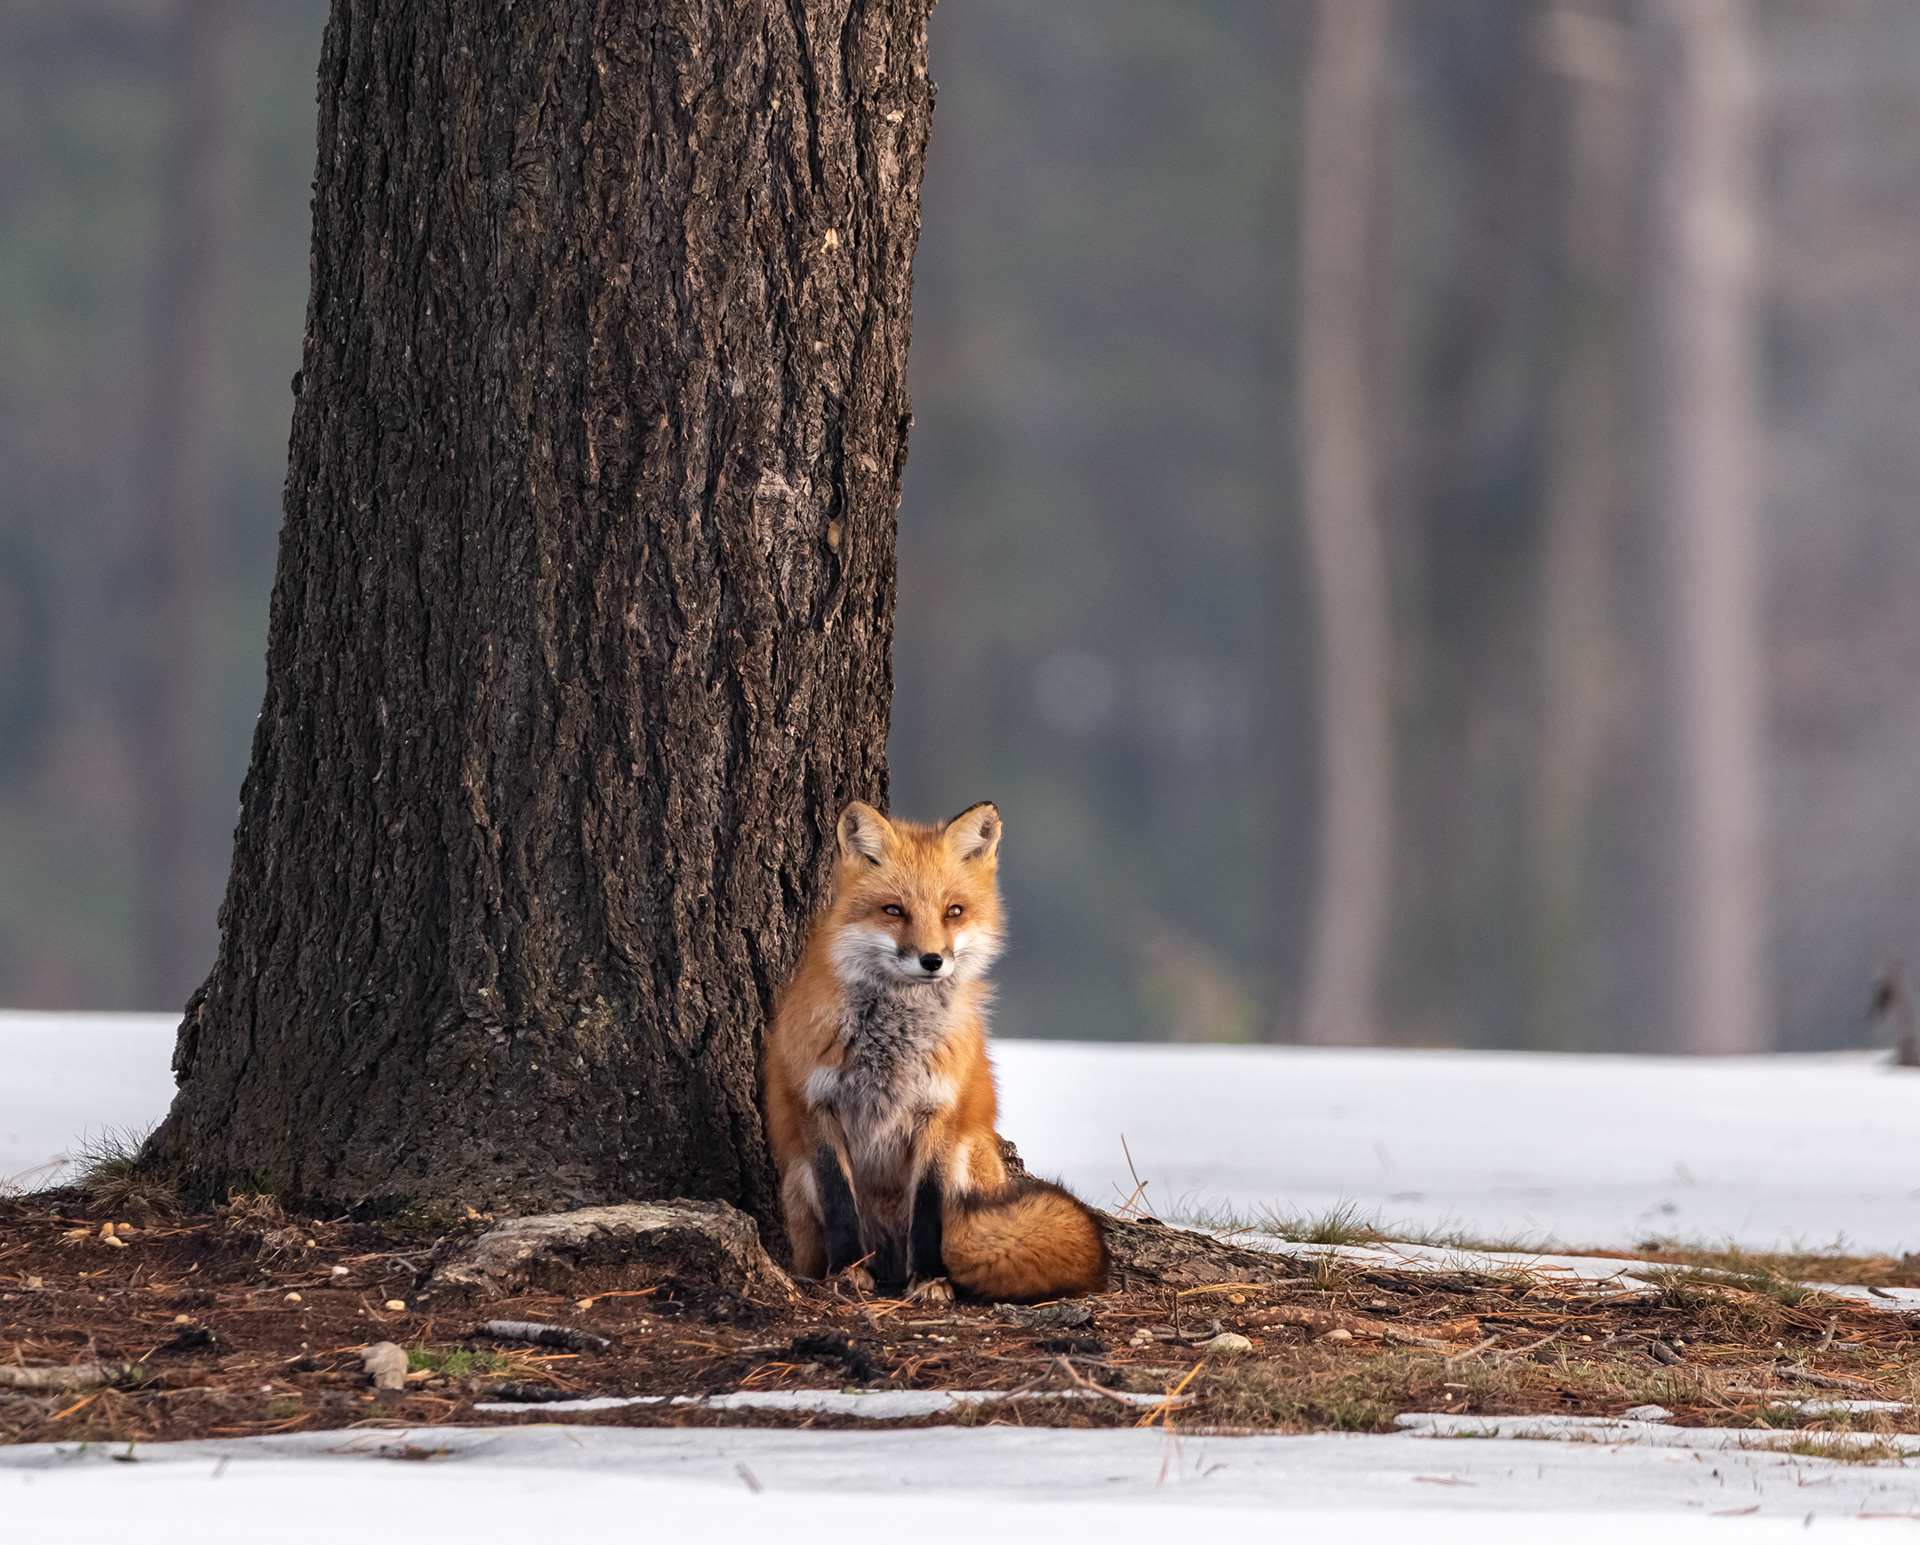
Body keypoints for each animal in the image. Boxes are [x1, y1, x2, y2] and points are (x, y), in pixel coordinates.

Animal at [763, 799, 1108, 1302]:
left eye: (953, 912)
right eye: (893, 910)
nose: (932, 961)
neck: (893, 1045)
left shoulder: (937, 1109)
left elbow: (927, 1209)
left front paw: (929, 1277)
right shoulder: (817, 1106)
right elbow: (840, 1200)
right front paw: (847, 1270)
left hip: (968, 1160)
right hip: (798, 1183)